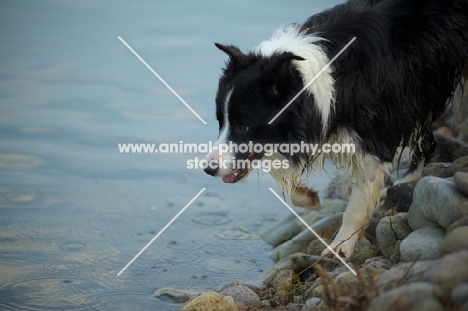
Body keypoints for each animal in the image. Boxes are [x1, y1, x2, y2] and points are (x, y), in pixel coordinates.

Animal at [204, 0, 468, 258]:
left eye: (242, 125)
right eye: (221, 122)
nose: (208, 169)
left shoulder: (375, 133)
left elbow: (359, 198)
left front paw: (340, 247)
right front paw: (309, 197)